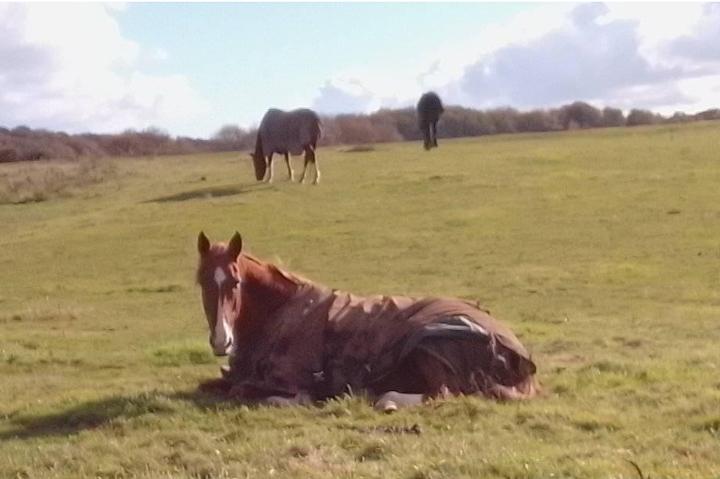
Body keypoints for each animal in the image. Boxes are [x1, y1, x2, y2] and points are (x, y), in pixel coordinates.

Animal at [196, 231, 538, 411]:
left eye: (235, 283)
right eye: (201, 281)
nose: (221, 341)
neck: (281, 311)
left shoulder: (290, 381)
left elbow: (249, 392)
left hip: (429, 348)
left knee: (441, 394)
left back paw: (385, 400)